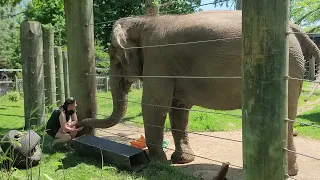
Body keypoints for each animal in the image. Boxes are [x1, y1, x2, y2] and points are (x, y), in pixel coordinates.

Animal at [79, 9, 320, 176]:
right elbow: (178, 109)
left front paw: (158, 163)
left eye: (113, 56)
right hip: (294, 68)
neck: (144, 21)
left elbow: (155, 105)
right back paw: (290, 172)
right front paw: (181, 161)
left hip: (287, 66)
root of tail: (293, 27)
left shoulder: (158, 59)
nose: (79, 124)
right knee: (289, 118)